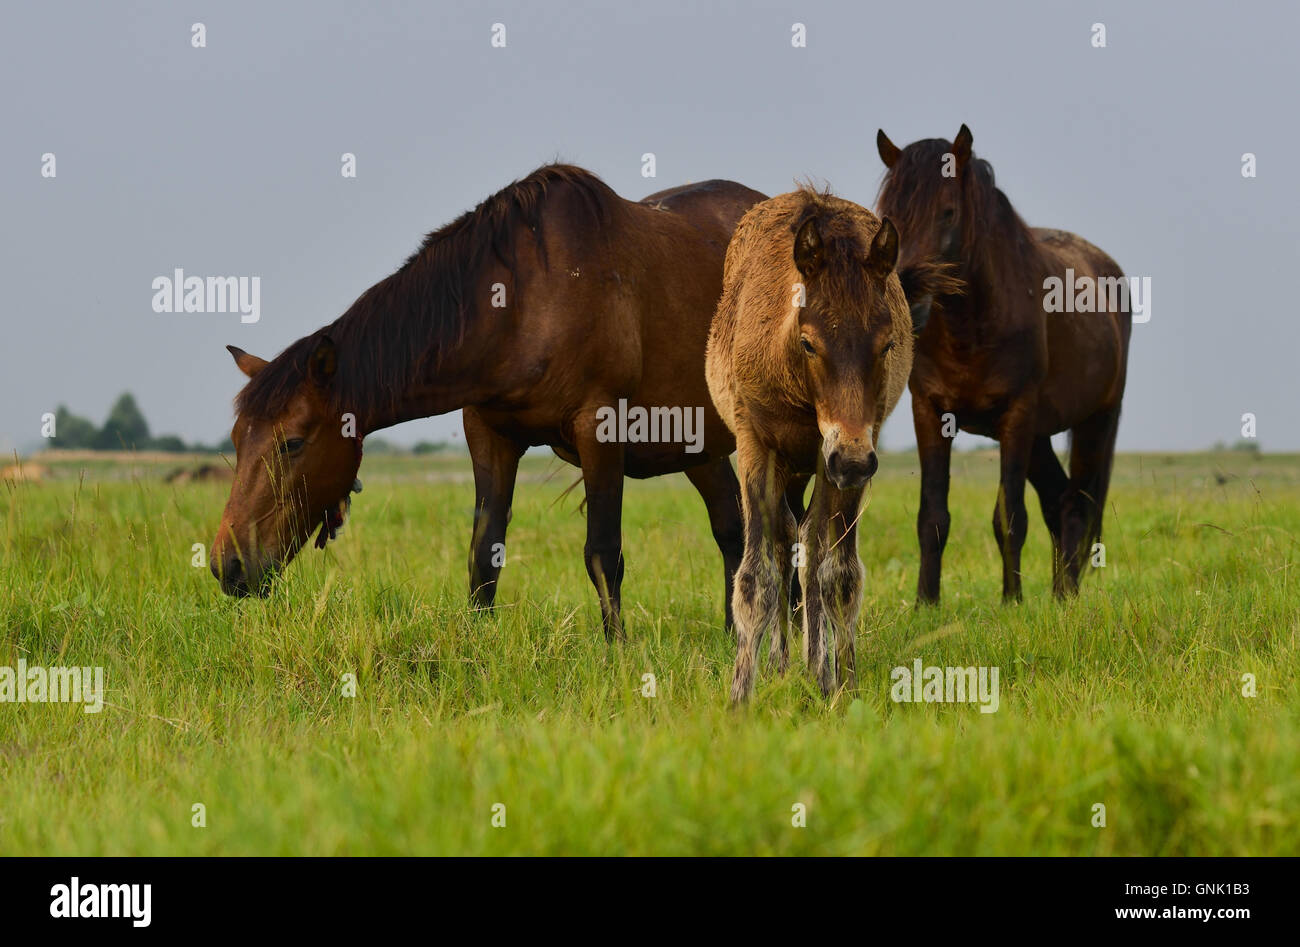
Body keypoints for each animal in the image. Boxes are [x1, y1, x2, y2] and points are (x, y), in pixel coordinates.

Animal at [208, 162, 764, 640]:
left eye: (293, 443)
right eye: (237, 439)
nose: (226, 566)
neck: (525, 300)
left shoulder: (599, 428)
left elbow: (604, 553)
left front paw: (618, 655)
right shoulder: (488, 434)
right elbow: (483, 554)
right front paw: (477, 646)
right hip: (697, 445)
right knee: (732, 530)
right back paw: (734, 634)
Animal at [712, 188, 925, 697]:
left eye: (888, 344)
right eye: (809, 342)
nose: (852, 462)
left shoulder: (843, 450)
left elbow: (838, 573)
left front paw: (839, 682)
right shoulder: (755, 443)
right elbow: (755, 577)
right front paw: (741, 691)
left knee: (809, 543)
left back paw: (814, 664)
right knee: (784, 540)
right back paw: (781, 661)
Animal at [878, 125, 1133, 603]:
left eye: (948, 212)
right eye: (888, 216)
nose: (908, 304)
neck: (971, 326)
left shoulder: (1017, 414)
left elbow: (1009, 516)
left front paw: (1011, 601)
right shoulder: (930, 412)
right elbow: (932, 516)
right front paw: (925, 603)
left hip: (1095, 421)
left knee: (1077, 504)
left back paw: (1067, 596)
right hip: (1040, 436)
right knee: (1058, 501)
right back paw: (1060, 592)